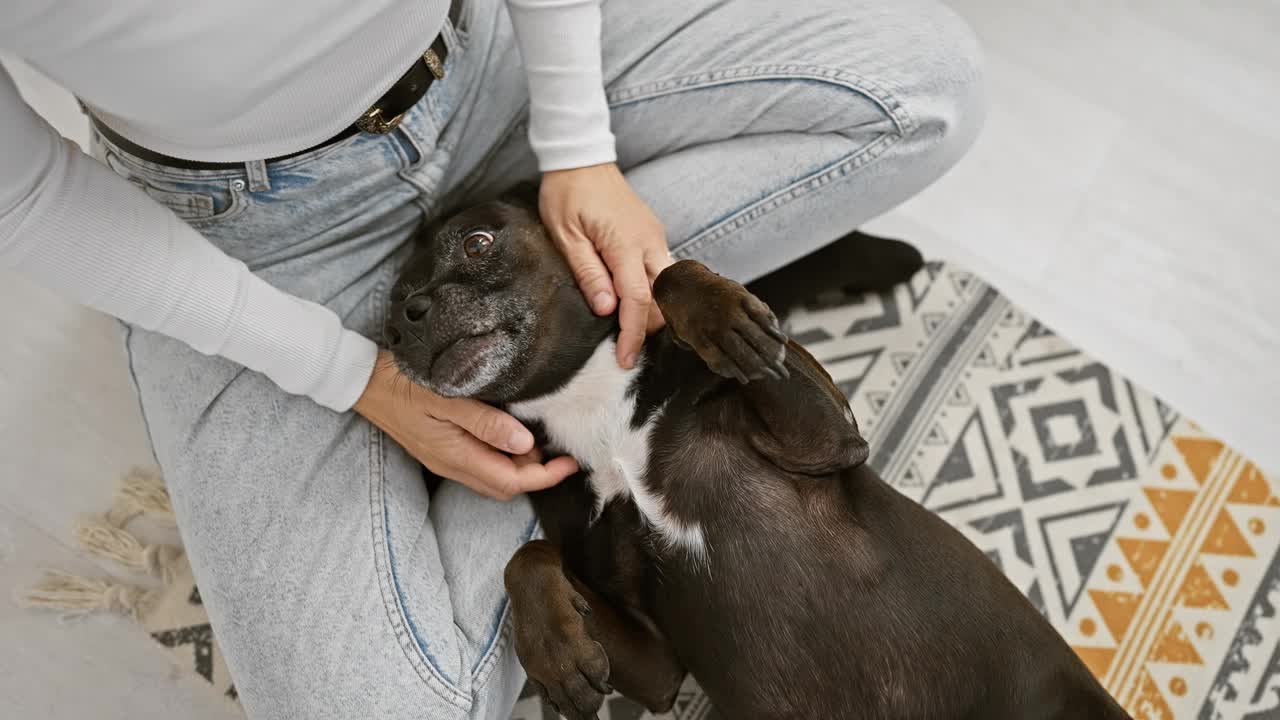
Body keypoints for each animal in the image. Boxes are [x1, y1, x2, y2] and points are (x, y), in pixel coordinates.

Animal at [381, 185, 1131, 717]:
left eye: (477, 241)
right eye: (389, 313)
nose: (405, 321)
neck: (594, 412)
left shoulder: (827, 437)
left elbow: (667, 276)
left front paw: (719, 315)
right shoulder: (658, 664)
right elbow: (528, 557)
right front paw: (556, 651)